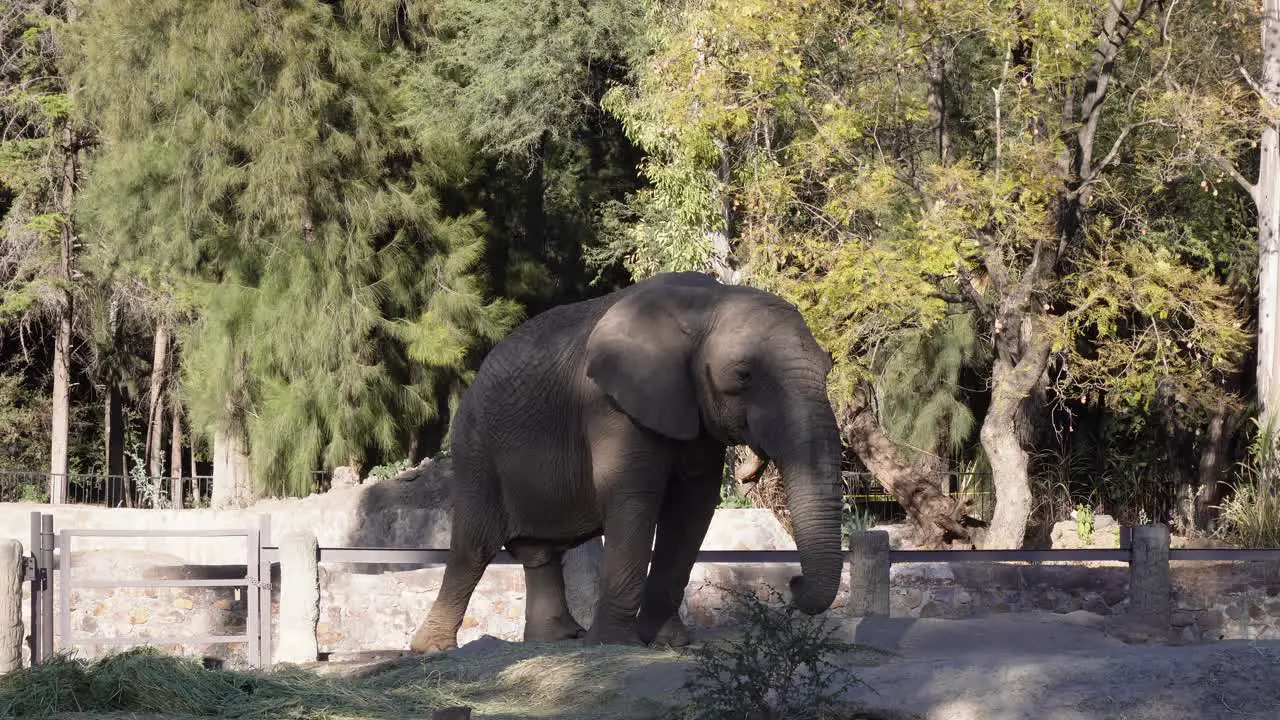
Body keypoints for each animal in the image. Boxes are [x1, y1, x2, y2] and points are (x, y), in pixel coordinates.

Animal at [412, 269, 849, 650]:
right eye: (743, 375)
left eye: (828, 368)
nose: (793, 582)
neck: (707, 304)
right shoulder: (609, 405)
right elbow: (634, 496)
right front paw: (613, 644)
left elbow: (693, 507)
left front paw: (670, 642)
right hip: (476, 449)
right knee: (475, 546)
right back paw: (432, 649)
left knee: (538, 552)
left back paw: (556, 640)